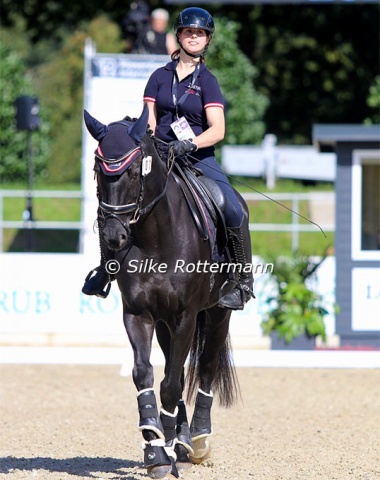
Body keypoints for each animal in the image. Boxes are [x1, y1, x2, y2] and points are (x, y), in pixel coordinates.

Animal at [84, 107, 248, 478]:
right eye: (99, 170)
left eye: (133, 171)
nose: (113, 236)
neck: (155, 236)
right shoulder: (139, 314)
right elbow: (145, 374)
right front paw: (156, 448)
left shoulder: (186, 316)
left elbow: (172, 384)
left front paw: (166, 446)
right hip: (164, 325)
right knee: (181, 368)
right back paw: (180, 442)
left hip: (217, 314)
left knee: (205, 367)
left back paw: (198, 440)